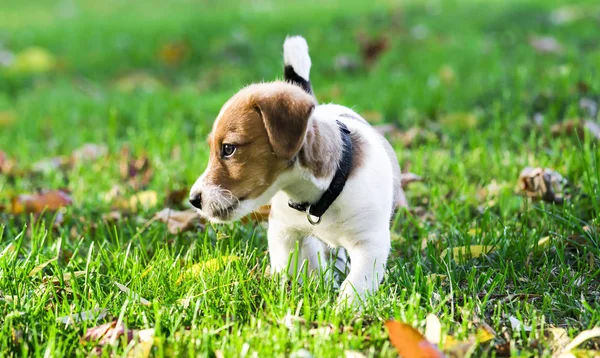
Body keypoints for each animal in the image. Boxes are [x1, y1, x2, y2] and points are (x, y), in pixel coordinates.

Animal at [191, 35, 408, 304]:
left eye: (228, 148)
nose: (193, 199)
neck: (321, 197)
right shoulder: (284, 232)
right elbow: (288, 269)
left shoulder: (370, 245)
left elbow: (354, 287)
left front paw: (342, 310)